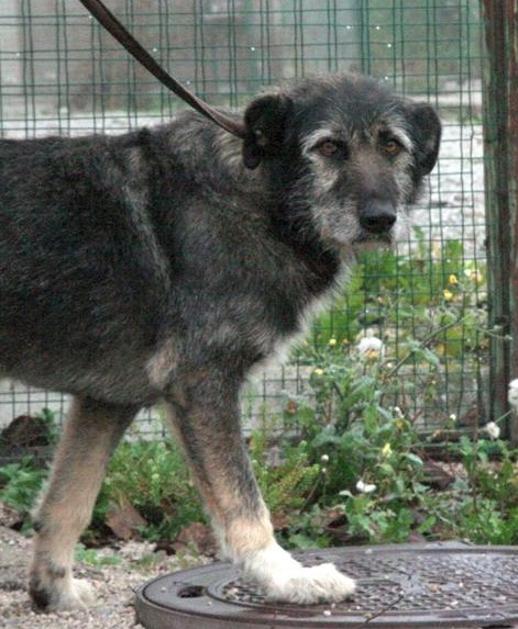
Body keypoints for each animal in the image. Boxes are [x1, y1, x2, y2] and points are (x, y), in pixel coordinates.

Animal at [0, 73, 440, 610]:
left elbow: (69, 502)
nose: (380, 218)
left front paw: (54, 590)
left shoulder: (105, 402)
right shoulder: (202, 384)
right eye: (328, 147)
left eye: (392, 145)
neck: (259, 194)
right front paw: (286, 578)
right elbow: (243, 503)